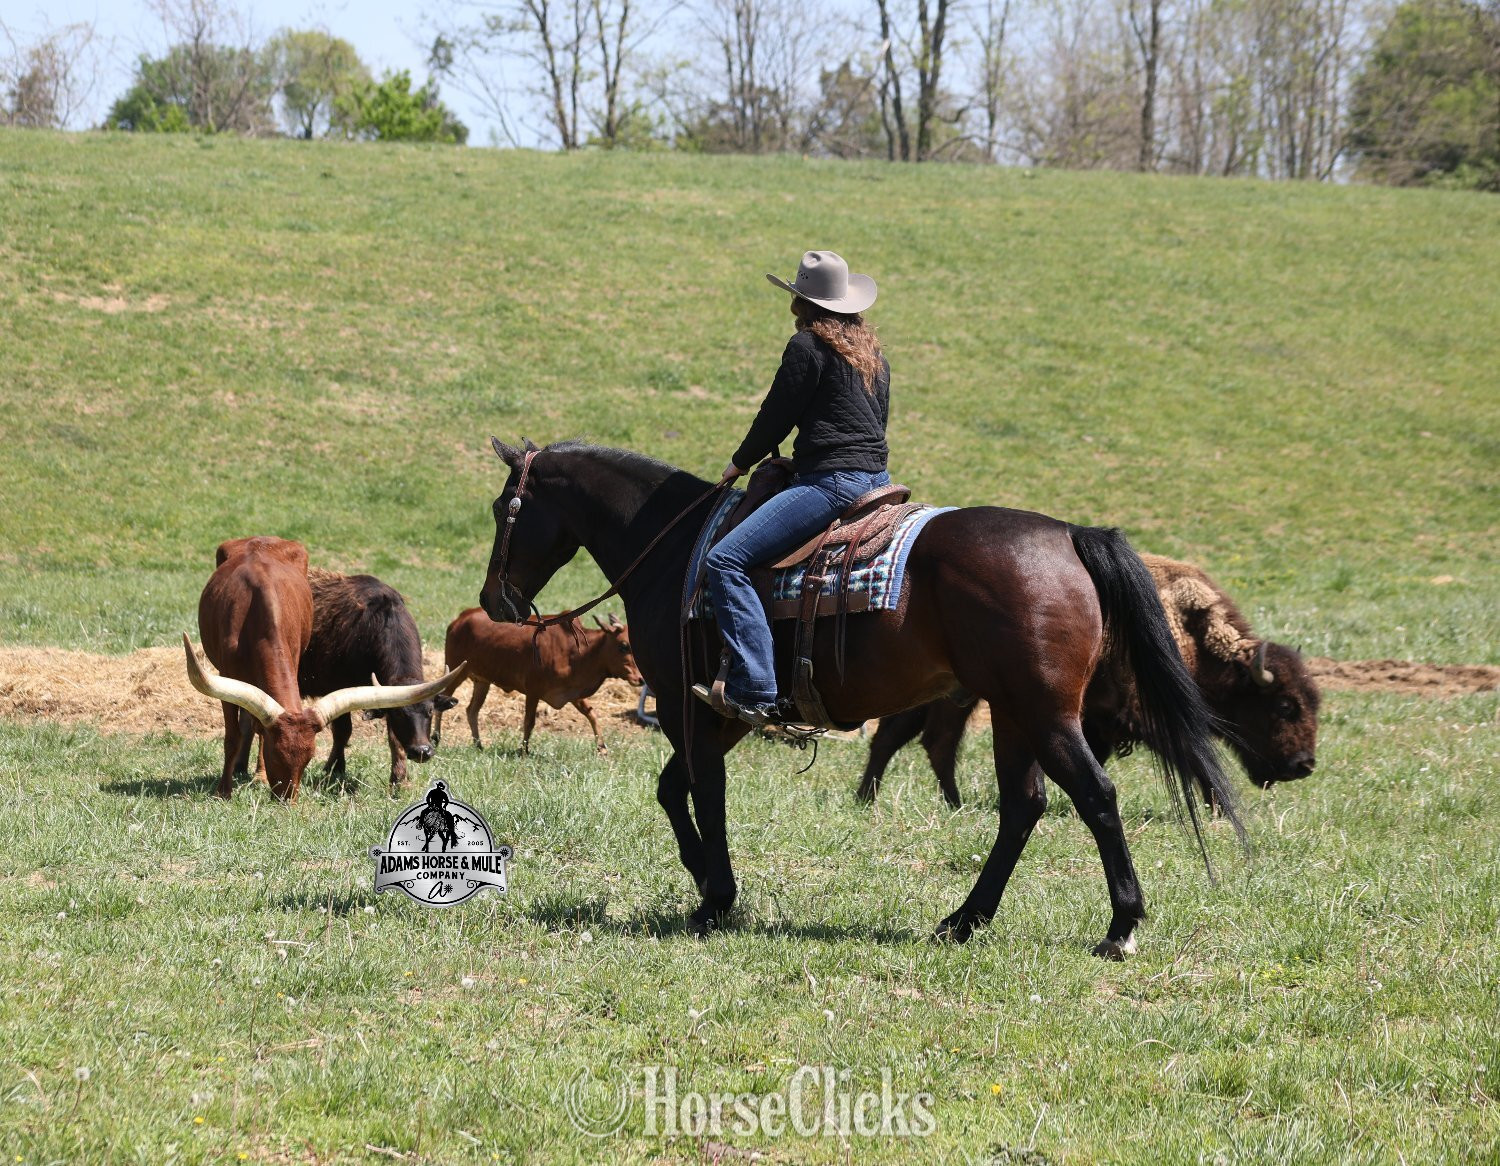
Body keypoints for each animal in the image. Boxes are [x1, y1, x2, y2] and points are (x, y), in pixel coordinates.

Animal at [479, 438, 1245, 958]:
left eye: (500, 509)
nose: (495, 602)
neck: (676, 552)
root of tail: (1069, 536)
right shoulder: (723, 713)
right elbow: (680, 789)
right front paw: (710, 889)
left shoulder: (687, 705)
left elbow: (695, 791)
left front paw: (714, 894)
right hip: (1013, 714)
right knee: (1023, 808)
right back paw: (963, 920)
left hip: (1045, 714)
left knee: (1094, 797)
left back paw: (1120, 926)